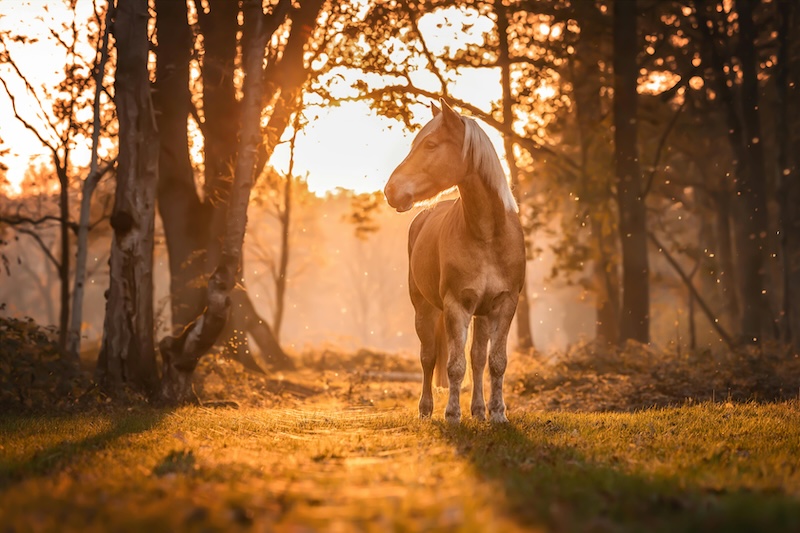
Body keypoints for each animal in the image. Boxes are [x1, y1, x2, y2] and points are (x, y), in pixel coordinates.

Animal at [386, 98, 528, 424]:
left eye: (430, 144)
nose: (391, 191)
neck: (488, 235)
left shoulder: (504, 304)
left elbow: (495, 362)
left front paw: (498, 414)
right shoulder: (456, 305)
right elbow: (454, 365)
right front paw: (452, 415)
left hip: (482, 314)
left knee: (477, 359)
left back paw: (478, 410)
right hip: (424, 310)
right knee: (428, 357)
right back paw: (426, 410)